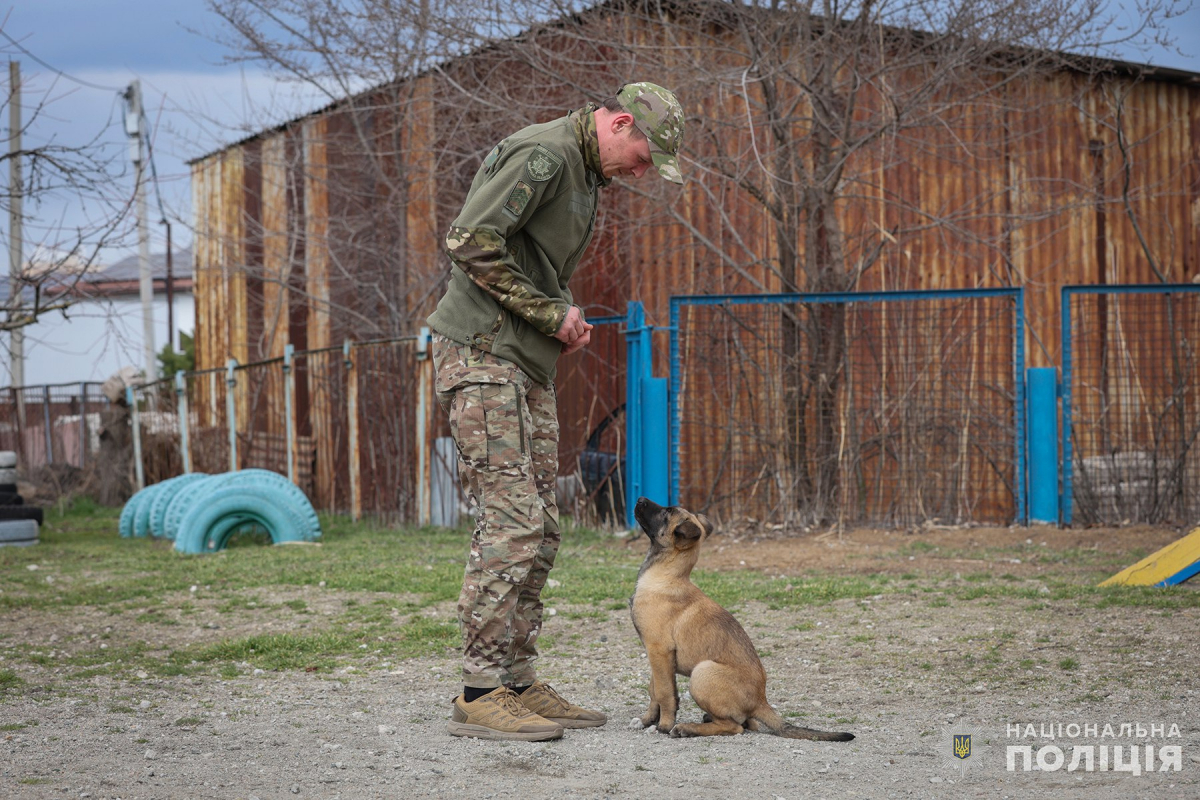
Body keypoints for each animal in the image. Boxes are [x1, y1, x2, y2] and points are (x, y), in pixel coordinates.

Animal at [628, 496, 854, 743]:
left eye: (667, 512)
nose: (640, 499)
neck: (666, 575)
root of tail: (760, 701)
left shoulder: (660, 650)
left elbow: (664, 692)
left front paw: (664, 724)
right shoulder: (656, 654)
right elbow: (653, 689)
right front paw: (648, 719)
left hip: (702, 672)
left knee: (734, 727)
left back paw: (687, 728)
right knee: (747, 723)